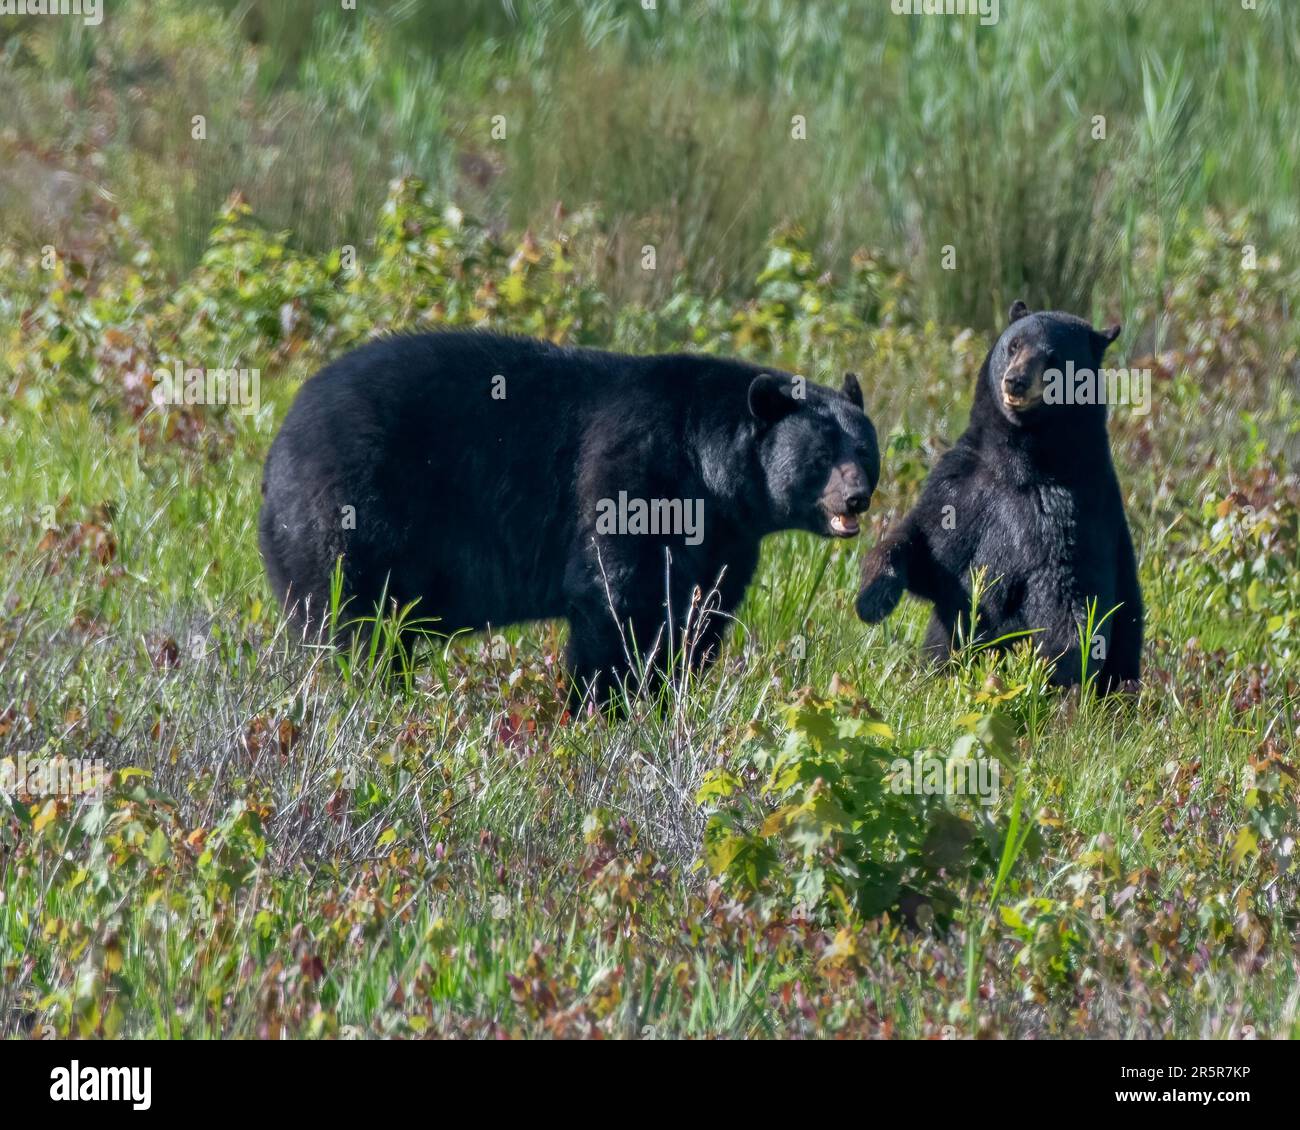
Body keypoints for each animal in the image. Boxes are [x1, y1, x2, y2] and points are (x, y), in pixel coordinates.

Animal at [259, 331, 880, 704]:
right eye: (822, 456)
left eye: (864, 449)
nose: (856, 499)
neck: (708, 470)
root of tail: (278, 443)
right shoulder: (636, 473)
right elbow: (619, 594)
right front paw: (604, 702)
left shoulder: (727, 536)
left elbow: (701, 605)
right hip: (355, 511)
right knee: (355, 615)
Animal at [855, 301, 1141, 691]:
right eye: (1014, 344)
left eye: (1054, 358)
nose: (1015, 380)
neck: (1018, 463)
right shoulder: (961, 485)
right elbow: (923, 546)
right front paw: (873, 595)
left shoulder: (1074, 510)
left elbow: (1072, 596)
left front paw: (1064, 673)